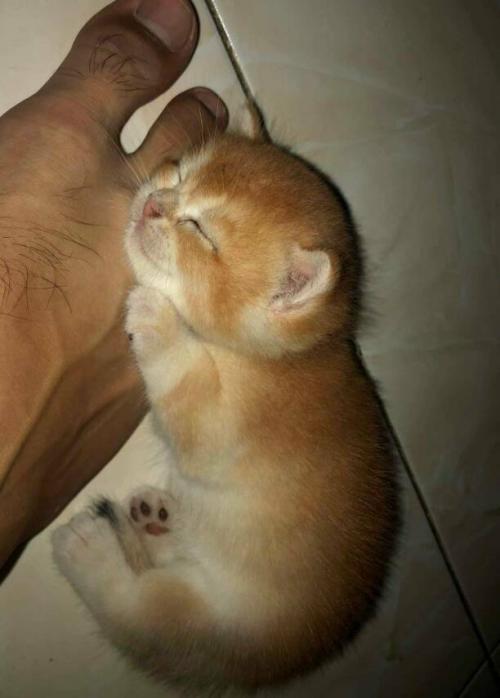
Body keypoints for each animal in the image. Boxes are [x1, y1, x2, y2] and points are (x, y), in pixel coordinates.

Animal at [52, 113, 400, 693]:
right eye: (177, 174)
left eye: (200, 232)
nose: (154, 204)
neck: (278, 359)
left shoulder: (222, 431)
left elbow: (185, 381)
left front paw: (156, 320)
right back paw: (157, 519)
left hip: (196, 618)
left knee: (137, 610)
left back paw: (92, 548)